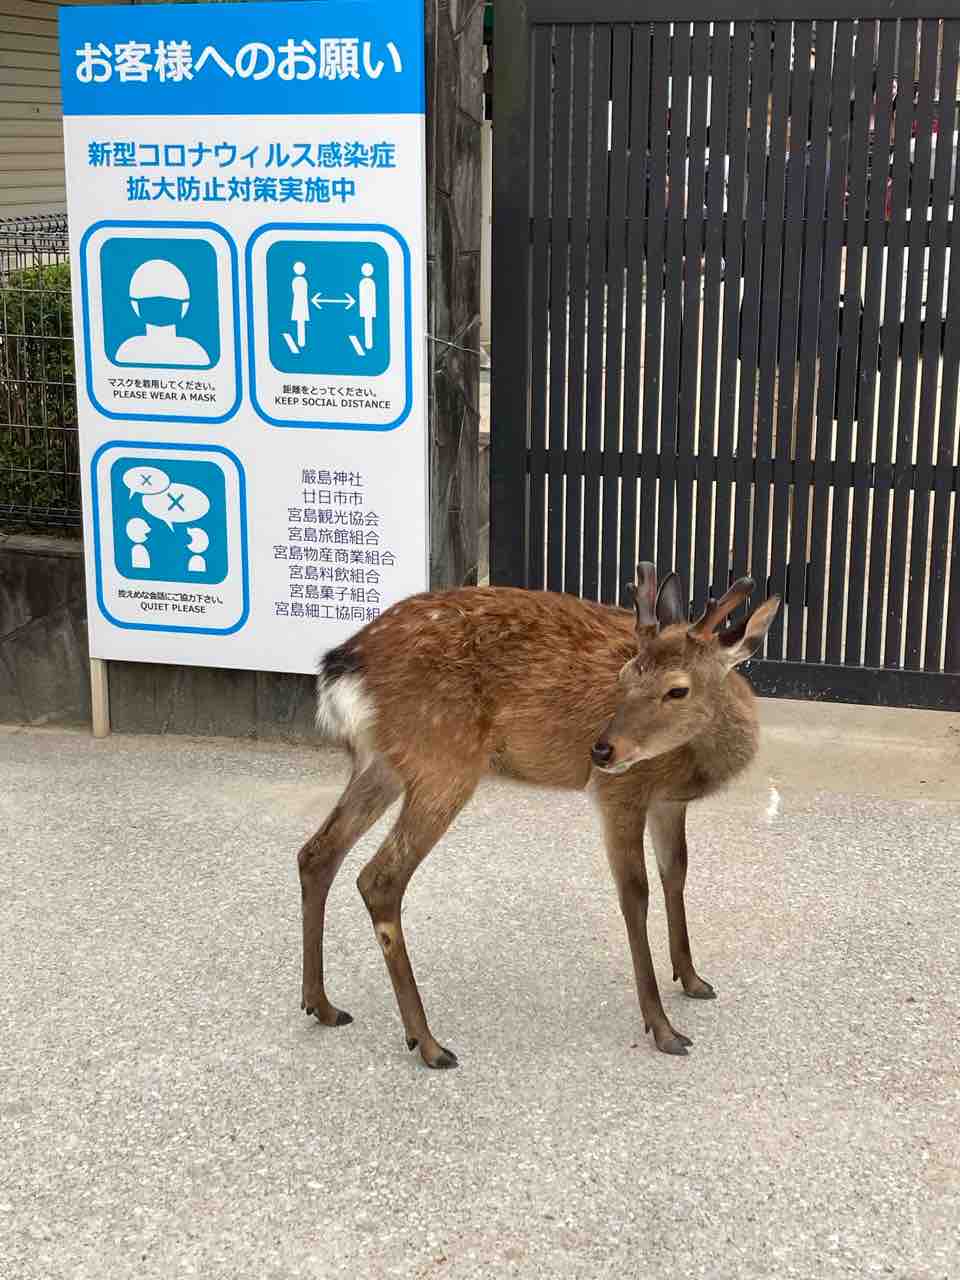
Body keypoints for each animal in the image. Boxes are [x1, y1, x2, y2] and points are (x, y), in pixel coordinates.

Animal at [298, 563, 780, 1068]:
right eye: (624, 675)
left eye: (677, 689)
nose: (601, 750)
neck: (692, 766)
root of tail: (342, 666)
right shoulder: (620, 791)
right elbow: (635, 893)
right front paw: (663, 1027)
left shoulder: (668, 802)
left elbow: (677, 874)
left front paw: (692, 979)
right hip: (442, 759)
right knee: (379, 878)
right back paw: (428, 1043)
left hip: (386, 760)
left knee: (317, 852)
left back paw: (321, 1004)